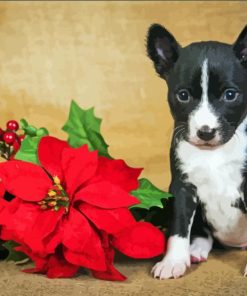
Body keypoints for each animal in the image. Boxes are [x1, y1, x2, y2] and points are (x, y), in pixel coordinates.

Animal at [146, 24, 247, 278]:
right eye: (183, 95)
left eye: (230, 95)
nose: (206, 132)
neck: (214, 153)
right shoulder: (183, 188)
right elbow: (179, 227)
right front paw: (173, 261)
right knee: (202, 233)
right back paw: (195, 250)